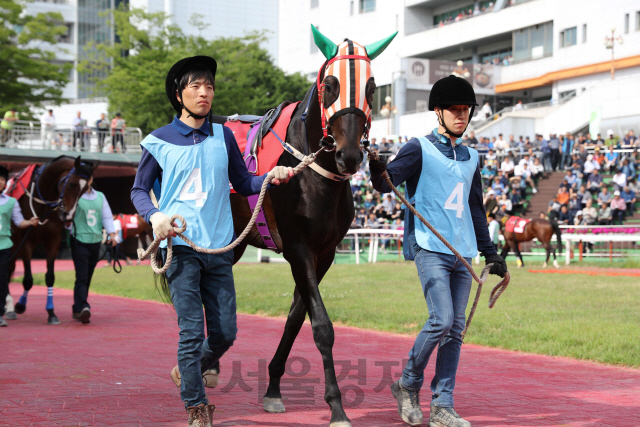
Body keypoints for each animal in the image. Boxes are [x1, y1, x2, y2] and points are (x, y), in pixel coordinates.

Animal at [8, 156, 96, 324]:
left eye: (84, 190)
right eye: (72, 184)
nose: (68, 216)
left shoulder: (53, 240)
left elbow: (50, 277)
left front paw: (51, 313)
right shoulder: (27, 240)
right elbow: (28, 279)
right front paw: (20, 305)